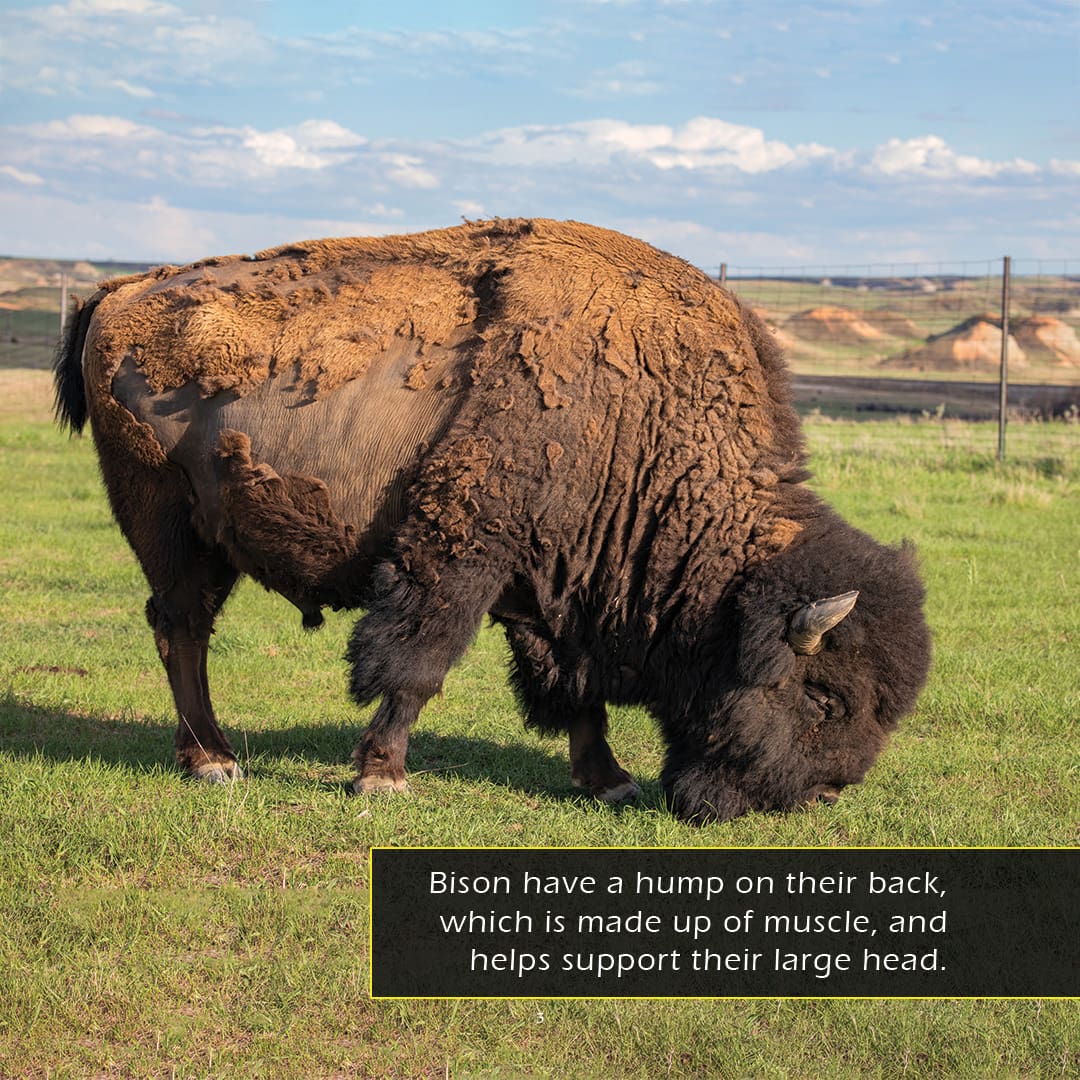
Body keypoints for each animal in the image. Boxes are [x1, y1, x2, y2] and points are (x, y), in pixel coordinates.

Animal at [54, 218, 930, 823]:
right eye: (826, 698)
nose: (825, 795)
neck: (641, 421)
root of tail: (116, 294)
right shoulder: (459, 557)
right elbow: (417, 665)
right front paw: (382, 776)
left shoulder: (553, 584)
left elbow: (572, 686)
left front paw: (610, 780)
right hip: (167, 526)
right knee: (182, 629)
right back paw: (213, 760)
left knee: (182, 627)